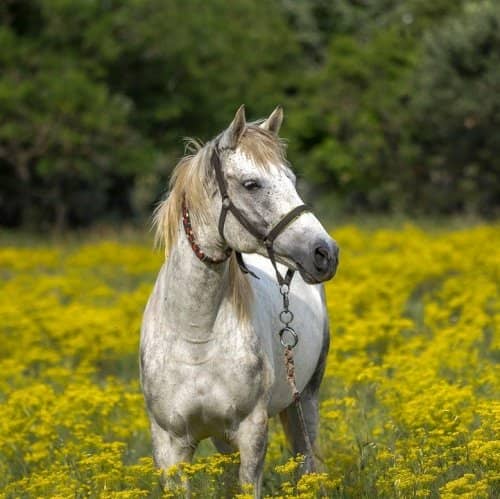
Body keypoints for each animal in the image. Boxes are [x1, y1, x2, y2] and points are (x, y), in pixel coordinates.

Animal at [139, 104, 338, 496]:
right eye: (251, 184)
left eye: (292, 180)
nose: (325, 253)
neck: (195, 335)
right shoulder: (169, 445)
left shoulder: (250, 432)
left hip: (304, 401)